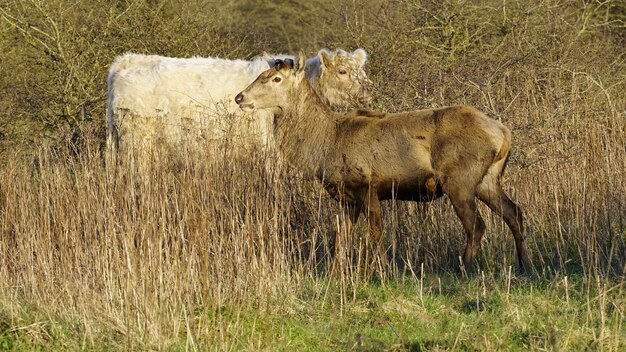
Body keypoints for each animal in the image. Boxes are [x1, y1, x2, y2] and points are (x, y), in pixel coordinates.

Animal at [107, 48, 370, 155]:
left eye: (362, 69)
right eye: (343, 71)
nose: (368, 90)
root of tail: (127, 60)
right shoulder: (267, 147)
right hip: (137, 141)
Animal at [235, 51, 532, 274]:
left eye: (276, 78)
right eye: (260, 76)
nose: (240, 97)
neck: (325, 145)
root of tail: (503, 133)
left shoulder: (367, 186)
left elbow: (376, 233)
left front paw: (384, 271)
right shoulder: (346, 196)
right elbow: (341, 239)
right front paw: (334, 273)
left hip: (459, 179)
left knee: (476, 225)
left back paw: (464, 269)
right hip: (487, 179)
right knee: (514, 212)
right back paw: (524, 266)